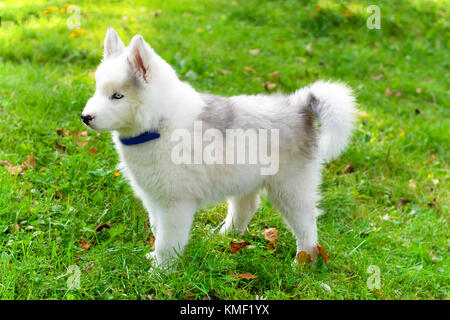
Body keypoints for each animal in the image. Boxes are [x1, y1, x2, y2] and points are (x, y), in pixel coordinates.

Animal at [81, 28, 356, 270]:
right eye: (98, 89)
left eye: (118, 96)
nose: (85, 117)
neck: (160, 123)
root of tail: (298, 106)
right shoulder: (153, 198)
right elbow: (157, 230)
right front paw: (154, 260)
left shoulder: (175, 204)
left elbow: (168, 242)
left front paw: (160, 274)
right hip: (246, 178)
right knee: (246, 208)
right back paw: (224, 237)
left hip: (290, 189)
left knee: (307, 226)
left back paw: (302, 264)